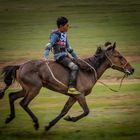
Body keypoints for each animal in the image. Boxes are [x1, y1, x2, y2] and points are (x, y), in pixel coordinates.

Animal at [0, 42, 134, 132]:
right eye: (119, 56)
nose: (132, 69)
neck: (88, 70)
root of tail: (21, 66)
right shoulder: (80, 95)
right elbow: (86, 111)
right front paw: (71, 119)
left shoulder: (73, 96)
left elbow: (64, 111)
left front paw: (49, 125)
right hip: (34, 89)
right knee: (23, 103)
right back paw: (35, 122)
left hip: (26, 89)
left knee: (12, 96)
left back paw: (9, 118)